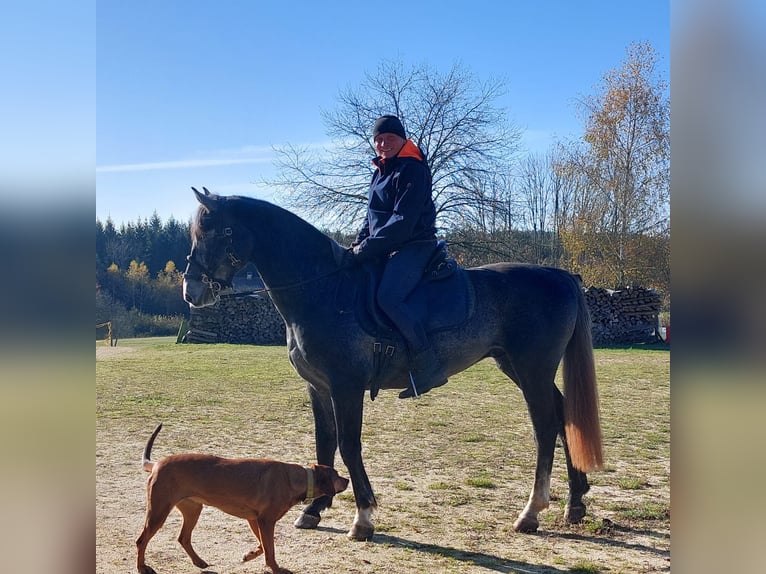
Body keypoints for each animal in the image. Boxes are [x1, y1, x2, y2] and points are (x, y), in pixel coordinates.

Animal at [136, 424, 352, 574]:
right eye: (336, 475)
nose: (348, 480)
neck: (295, 478)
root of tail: (157, 464)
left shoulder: (255, 519)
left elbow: (263, 545)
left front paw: (249, 555)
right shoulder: (265, 520)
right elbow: (270, 549)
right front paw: (276, 568)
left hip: (192, 509)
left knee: (183, 537)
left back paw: (198, 562)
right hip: (159, 511)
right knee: (141, 540)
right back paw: (142, 567)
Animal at [183, 190, 604, 544]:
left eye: (219, 231)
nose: (191, 290)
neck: (324, 289)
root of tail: (560, 275)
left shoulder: (346, 386)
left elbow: (349, 445)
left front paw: (363, 517)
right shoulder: (318, 387)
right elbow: (324, 443)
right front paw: (314, 508)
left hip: (532, 370)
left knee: (545, 428)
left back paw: (531, 512)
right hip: (517, 368)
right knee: (564, 417)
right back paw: (575, 502)